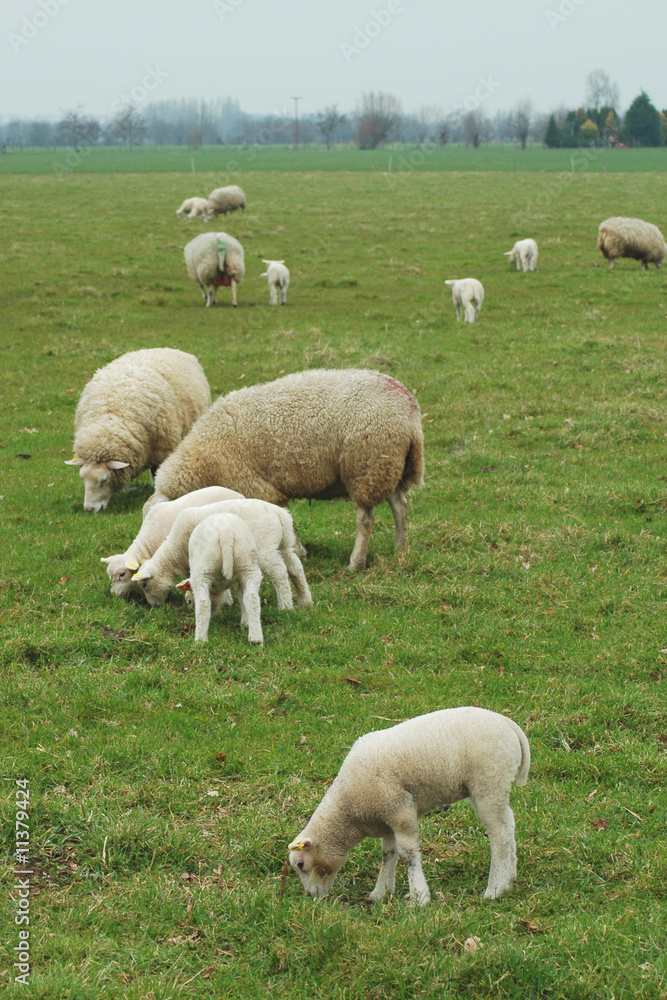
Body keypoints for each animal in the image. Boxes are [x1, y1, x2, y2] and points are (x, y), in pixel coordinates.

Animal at [65, 348, 211, 513]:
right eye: (83, 479)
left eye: (104, 480)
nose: (89, 509)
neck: (110, 417)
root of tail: (168, 348)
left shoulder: (161, 450)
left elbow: (156, 473)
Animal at [130, 498, 312, 610]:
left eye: (144, 585)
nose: (152, 606)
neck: (175, 552)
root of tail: (281, 515)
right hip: (284, 544)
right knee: (296, 569)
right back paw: (305, 601)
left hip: (264, 546)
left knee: (280, 572)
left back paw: (285, 606)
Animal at [144, 368, 425, 571]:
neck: (202, 459)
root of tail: (407, 403)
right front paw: (298, 549)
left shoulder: (255, 487)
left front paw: (297, 550)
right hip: (391, 465)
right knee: (400, 507)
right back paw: (401, 550)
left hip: (366, 465)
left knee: (366, 519)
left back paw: (356, 563)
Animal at [175, 513, 264, 644]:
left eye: (189, 601)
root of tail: (225, 533)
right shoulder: (241, 579)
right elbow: (242, 597)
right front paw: (245, 623)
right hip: (247, 563)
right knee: (252, 599)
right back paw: (256, 639)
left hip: (204, 568)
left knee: (203, 603)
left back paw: (200, 640)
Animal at [289, 706, 530, 906]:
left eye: (300, 864)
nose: (309, 895)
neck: (348, 810)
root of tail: (510, 725)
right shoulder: (386, 817)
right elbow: (389, 853)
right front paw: (381, 893)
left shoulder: (399, 809)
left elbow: (408, 853)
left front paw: (419, 898)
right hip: (495, 786)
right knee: (508, 826)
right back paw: (510, 878)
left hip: (489, 781)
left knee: (499, 834)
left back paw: (495, 888)